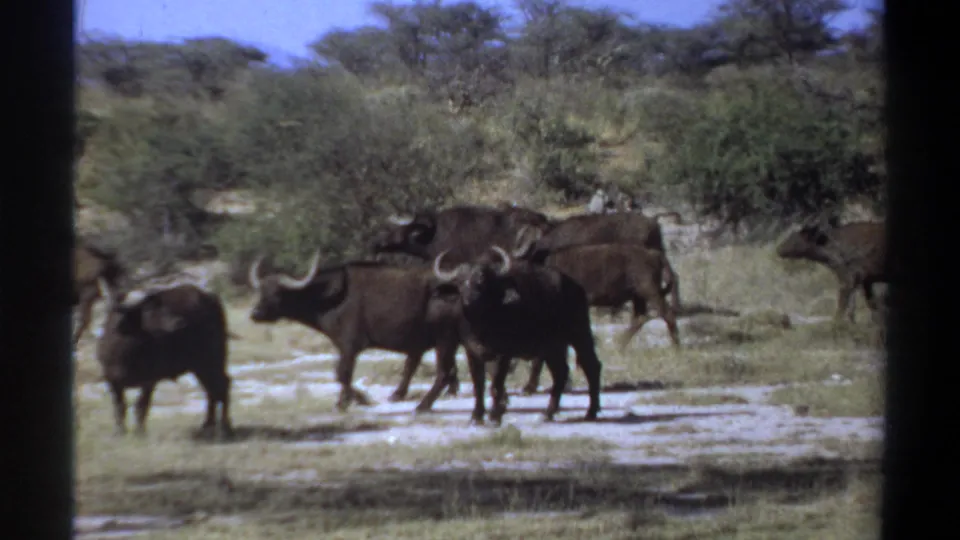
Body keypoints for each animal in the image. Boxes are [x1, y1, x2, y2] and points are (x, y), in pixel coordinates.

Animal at [96, 279, 233, 436]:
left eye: (164, 306)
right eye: (148, 309)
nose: (180, 322)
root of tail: (212, 300)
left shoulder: (149, 380)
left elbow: (141, 406)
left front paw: (140, 432)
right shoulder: (111, 380)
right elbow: (119, 407)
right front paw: (120, 432)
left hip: (212, 359)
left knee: (221, 386)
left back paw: (224, 427)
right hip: (200, 365)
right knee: (212, 389)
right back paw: (208, 426)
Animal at [247, 252, 462, 413]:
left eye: (277, 293)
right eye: (260, 291)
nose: (255, 314)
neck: (332, 298)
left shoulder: (350, 345)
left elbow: (342, 374)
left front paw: (355, 400)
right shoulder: (343, 347)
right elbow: (342, 375)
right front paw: (349, 400)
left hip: (444, 340)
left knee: (443, 372)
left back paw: (422, 405)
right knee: (442, 370)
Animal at [432, 246, 602, 426]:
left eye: (482, 280)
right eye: (460, 282)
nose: (470, 299)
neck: (479, 325)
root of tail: (576, 288)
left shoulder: (503, 354)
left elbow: (496, 384)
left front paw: (495, 415)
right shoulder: (471, 352)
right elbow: (478, 384)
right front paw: (477, 415)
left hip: (580, 333)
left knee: (591, 366)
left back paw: (591, 411)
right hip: (553, 346)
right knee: (561, 372)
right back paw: (549, 412)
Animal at [511, 241, 680, 395]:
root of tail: (654, 254)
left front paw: (530, 387)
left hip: (649, 292)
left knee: (667, 315)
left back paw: (675, 348)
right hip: (637, 296)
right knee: (639, 318)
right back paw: (618, 346)